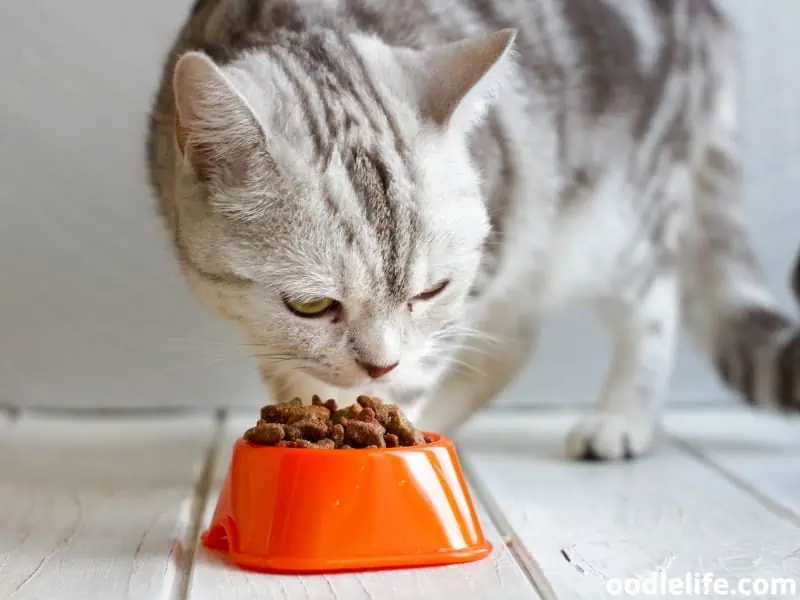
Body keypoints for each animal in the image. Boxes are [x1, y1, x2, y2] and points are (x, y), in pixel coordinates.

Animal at [145, 0, 800, 462]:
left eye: (429, 290)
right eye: (310, 305)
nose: (380, 366)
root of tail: (708, 18)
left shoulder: (473, 277)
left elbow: (412, 375)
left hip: (619, 214)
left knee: (652, 307)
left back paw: (621, 420)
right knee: (516, 341)